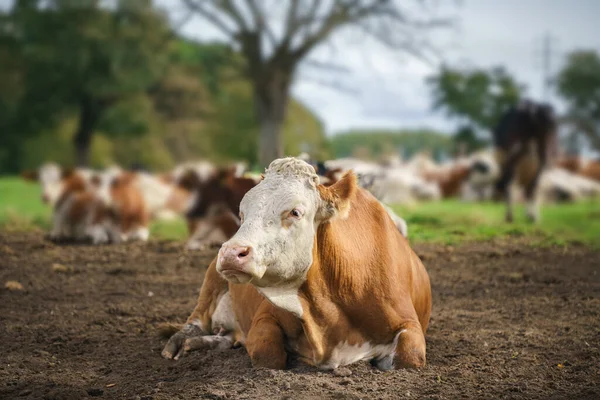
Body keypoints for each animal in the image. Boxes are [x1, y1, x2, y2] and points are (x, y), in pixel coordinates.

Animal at [162, 158, 428, 370]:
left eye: (295, 212)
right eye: (242, 213)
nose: (230, 252)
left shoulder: (409, 323)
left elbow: (410, 356)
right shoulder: (265, 317)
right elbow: (267, 353)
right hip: (211, 281)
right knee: (196, 320)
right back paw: (182, 341)